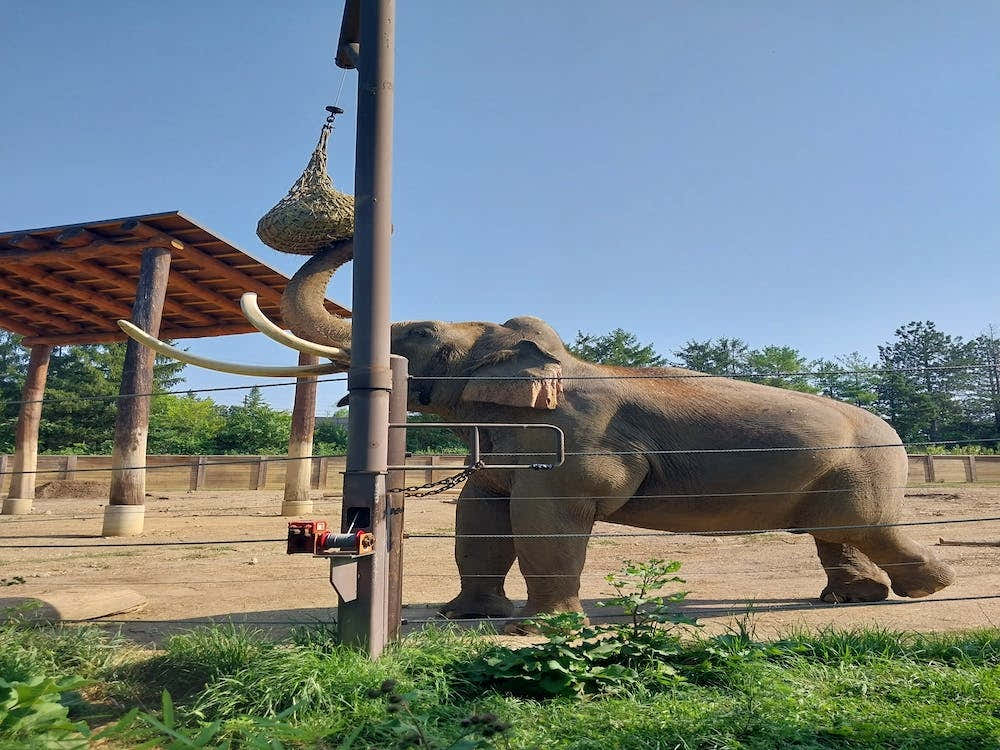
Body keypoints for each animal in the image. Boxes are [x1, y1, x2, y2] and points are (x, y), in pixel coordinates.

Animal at [125, 241, 956, 622]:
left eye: (418, 333)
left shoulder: (574, 438)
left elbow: (546, 515)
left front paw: (538, 630)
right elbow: (481, 512)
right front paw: (463, 618)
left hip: (866, 469)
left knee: (871, 526)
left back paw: (930, 590)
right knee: (833, 533)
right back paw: (851, 601)